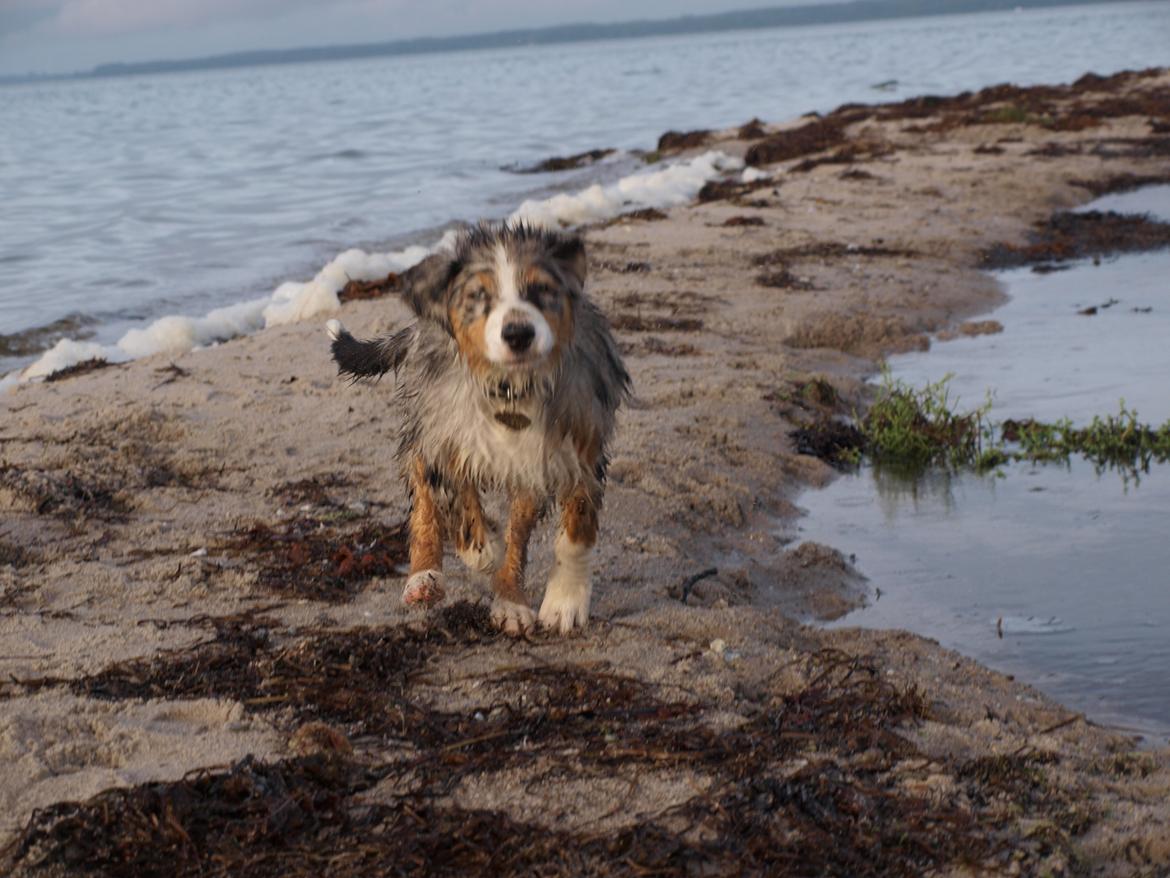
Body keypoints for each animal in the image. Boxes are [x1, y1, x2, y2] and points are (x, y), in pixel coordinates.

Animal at [329, 218, 627, 632]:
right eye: (476, 295)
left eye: (542, 289)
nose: (518, 334)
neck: (511, 388)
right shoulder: (445, 432)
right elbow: (459, 507)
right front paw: (483, 551)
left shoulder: (580, 435)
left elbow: (576, 529)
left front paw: (565, 601)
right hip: (423, 416)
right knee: (423, 490)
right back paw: (424, 577)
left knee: (519, 526)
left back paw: (511, 602)